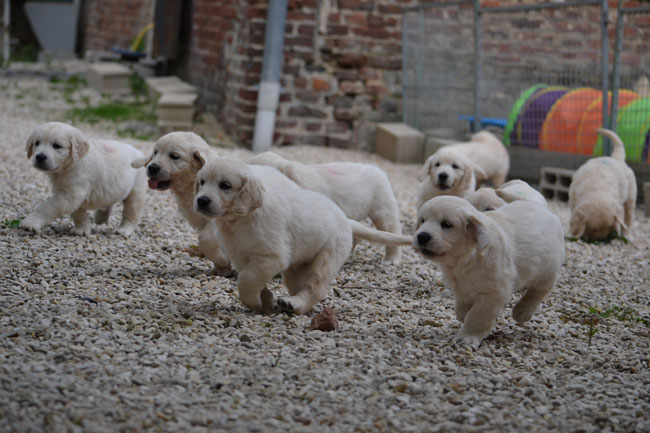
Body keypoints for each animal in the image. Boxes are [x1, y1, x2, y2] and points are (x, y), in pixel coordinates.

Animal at [416, 194, 560, 346]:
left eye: (446, 224)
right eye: (422, 220)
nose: (422, 236)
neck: (462, 260)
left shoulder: (494, 292)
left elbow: (477, 315)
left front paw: (468, 336)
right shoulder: (462, 286)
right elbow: (462, 307)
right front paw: (463, 313)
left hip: (548, 267)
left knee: (540, 289)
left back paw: (523, 310)